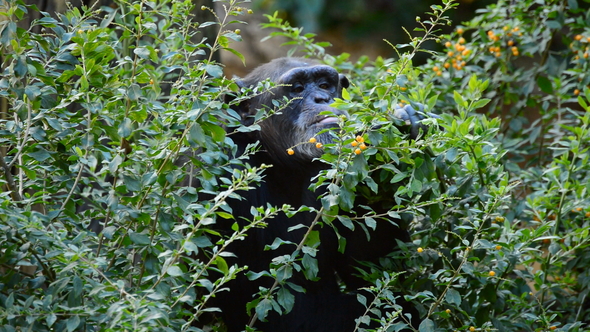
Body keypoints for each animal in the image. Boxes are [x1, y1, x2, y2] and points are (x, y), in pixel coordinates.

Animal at [210, 57, 428, 332]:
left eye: (325, 85)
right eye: (297, 89)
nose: (322, 98)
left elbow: (375, 273)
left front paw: (406, 119)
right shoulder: (228, 177)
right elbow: (278, 307)